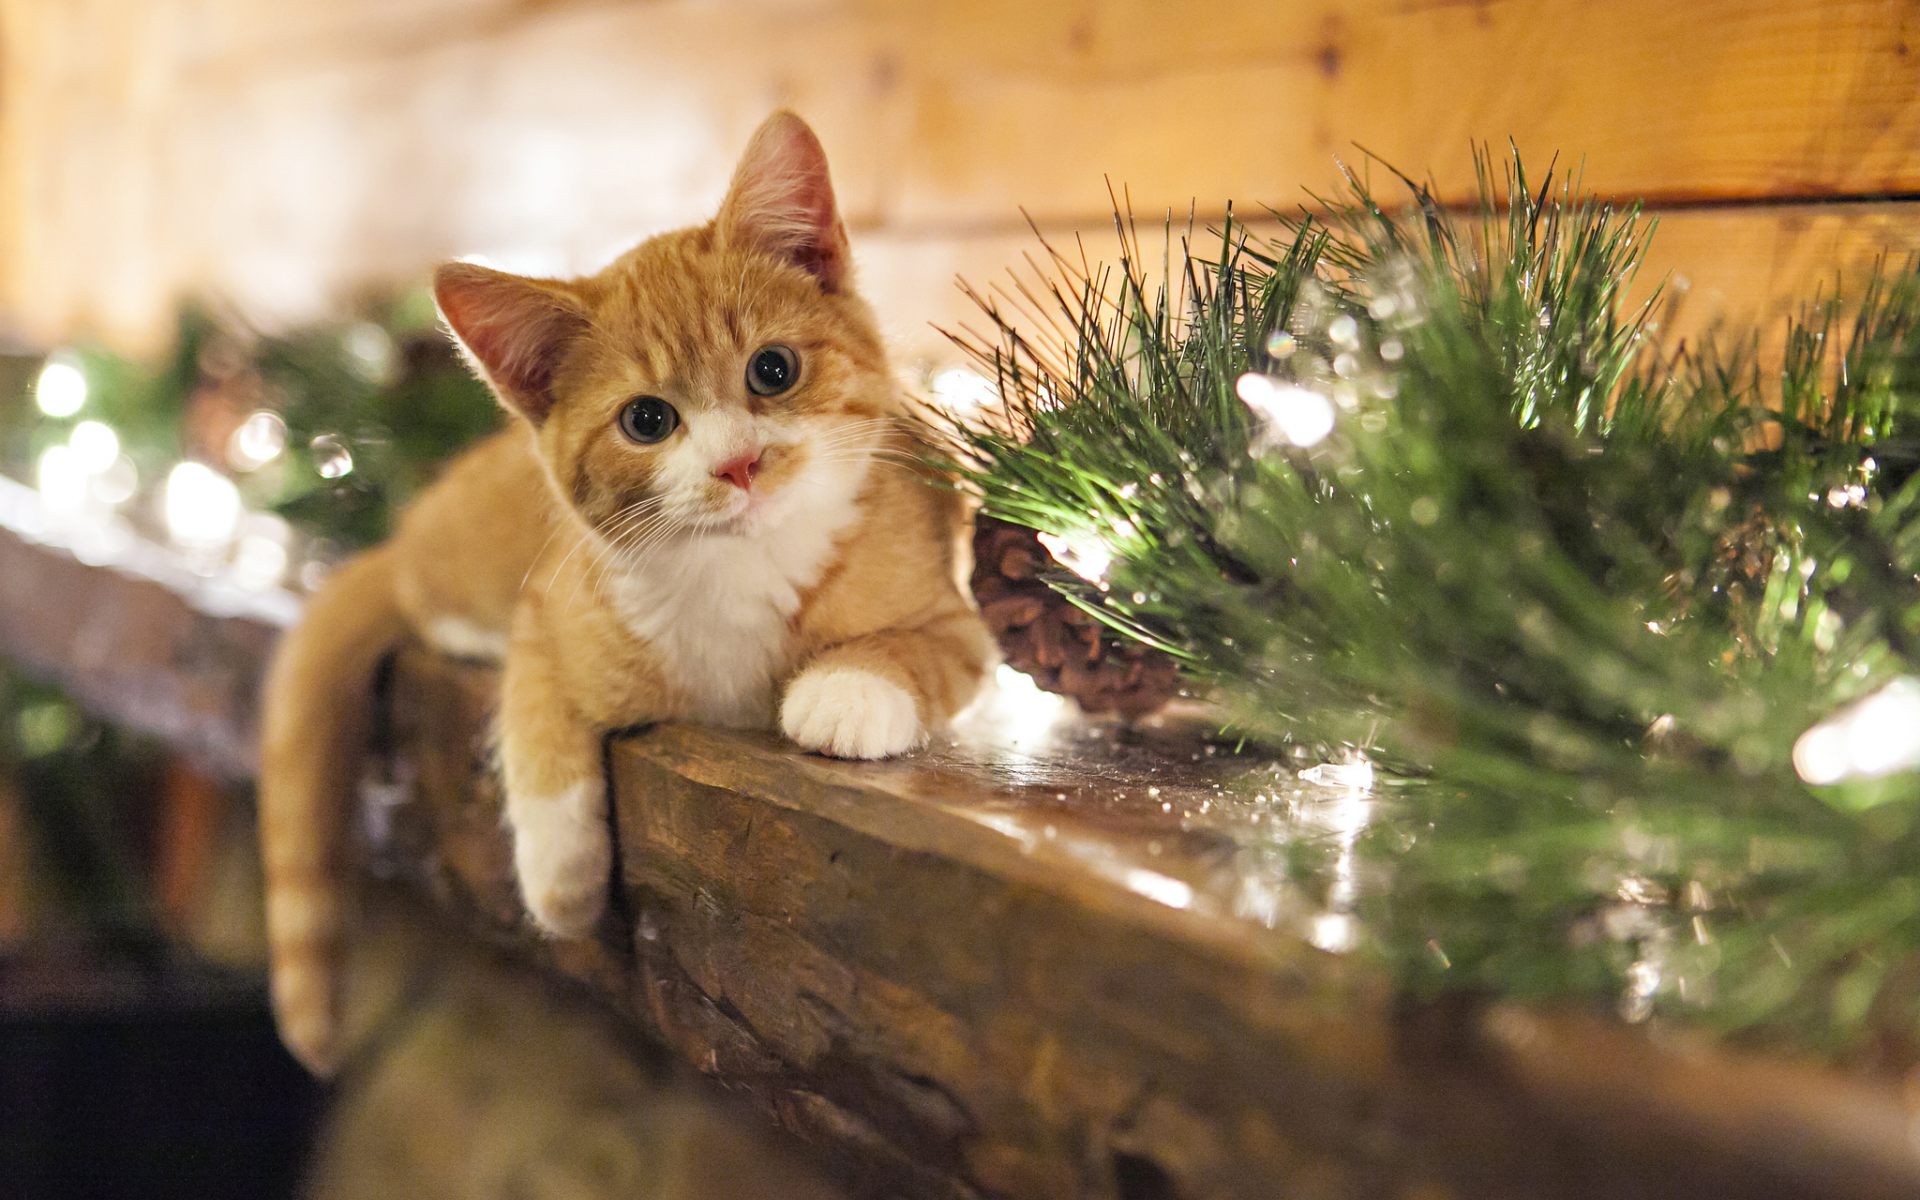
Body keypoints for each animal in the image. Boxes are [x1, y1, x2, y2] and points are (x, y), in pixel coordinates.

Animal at [259, 109, 990, 1067]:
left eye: (774, 370)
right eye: (647, 420)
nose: (739, 464)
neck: (741, 570)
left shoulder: (959, 611)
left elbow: (927, 649)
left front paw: (849, 690)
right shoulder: (551, 607)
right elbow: (535, 715)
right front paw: (561, 873)